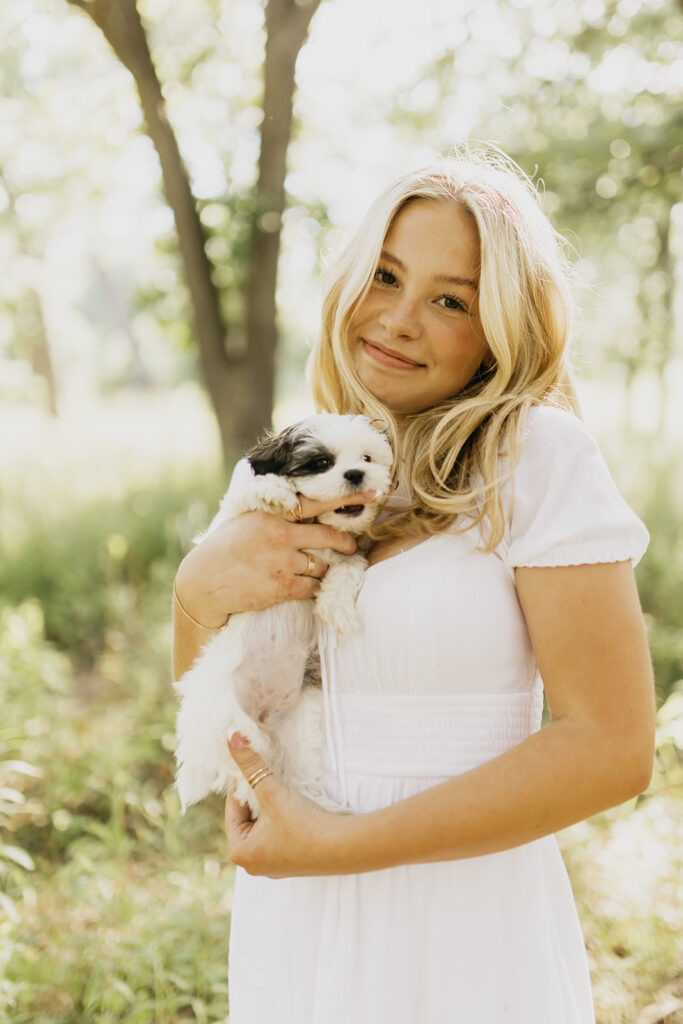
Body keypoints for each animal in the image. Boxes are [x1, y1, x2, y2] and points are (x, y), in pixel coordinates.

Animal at [174, 411, 393, 819]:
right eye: (321, 462)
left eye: (367, 458)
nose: (356, 473)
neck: (315, 525)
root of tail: (261, 716)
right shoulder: (226, 529)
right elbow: (245, 498)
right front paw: (274, 493)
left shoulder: (347, 553)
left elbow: (348, 568)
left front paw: (335, 606)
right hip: (231, 724)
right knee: (247, 777)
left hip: (298, 726)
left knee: (291, 777)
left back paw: (321, 809)